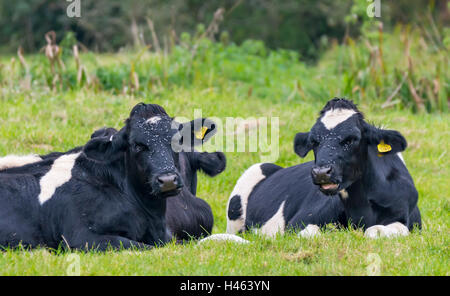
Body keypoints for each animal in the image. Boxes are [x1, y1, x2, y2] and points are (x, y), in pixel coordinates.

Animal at [229, 98, 422, 239]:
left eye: (352, 139)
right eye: (314, 141)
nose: (321, 173)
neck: (360, 208)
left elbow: (376, 231)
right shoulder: (297, 223)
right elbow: (311, 232)